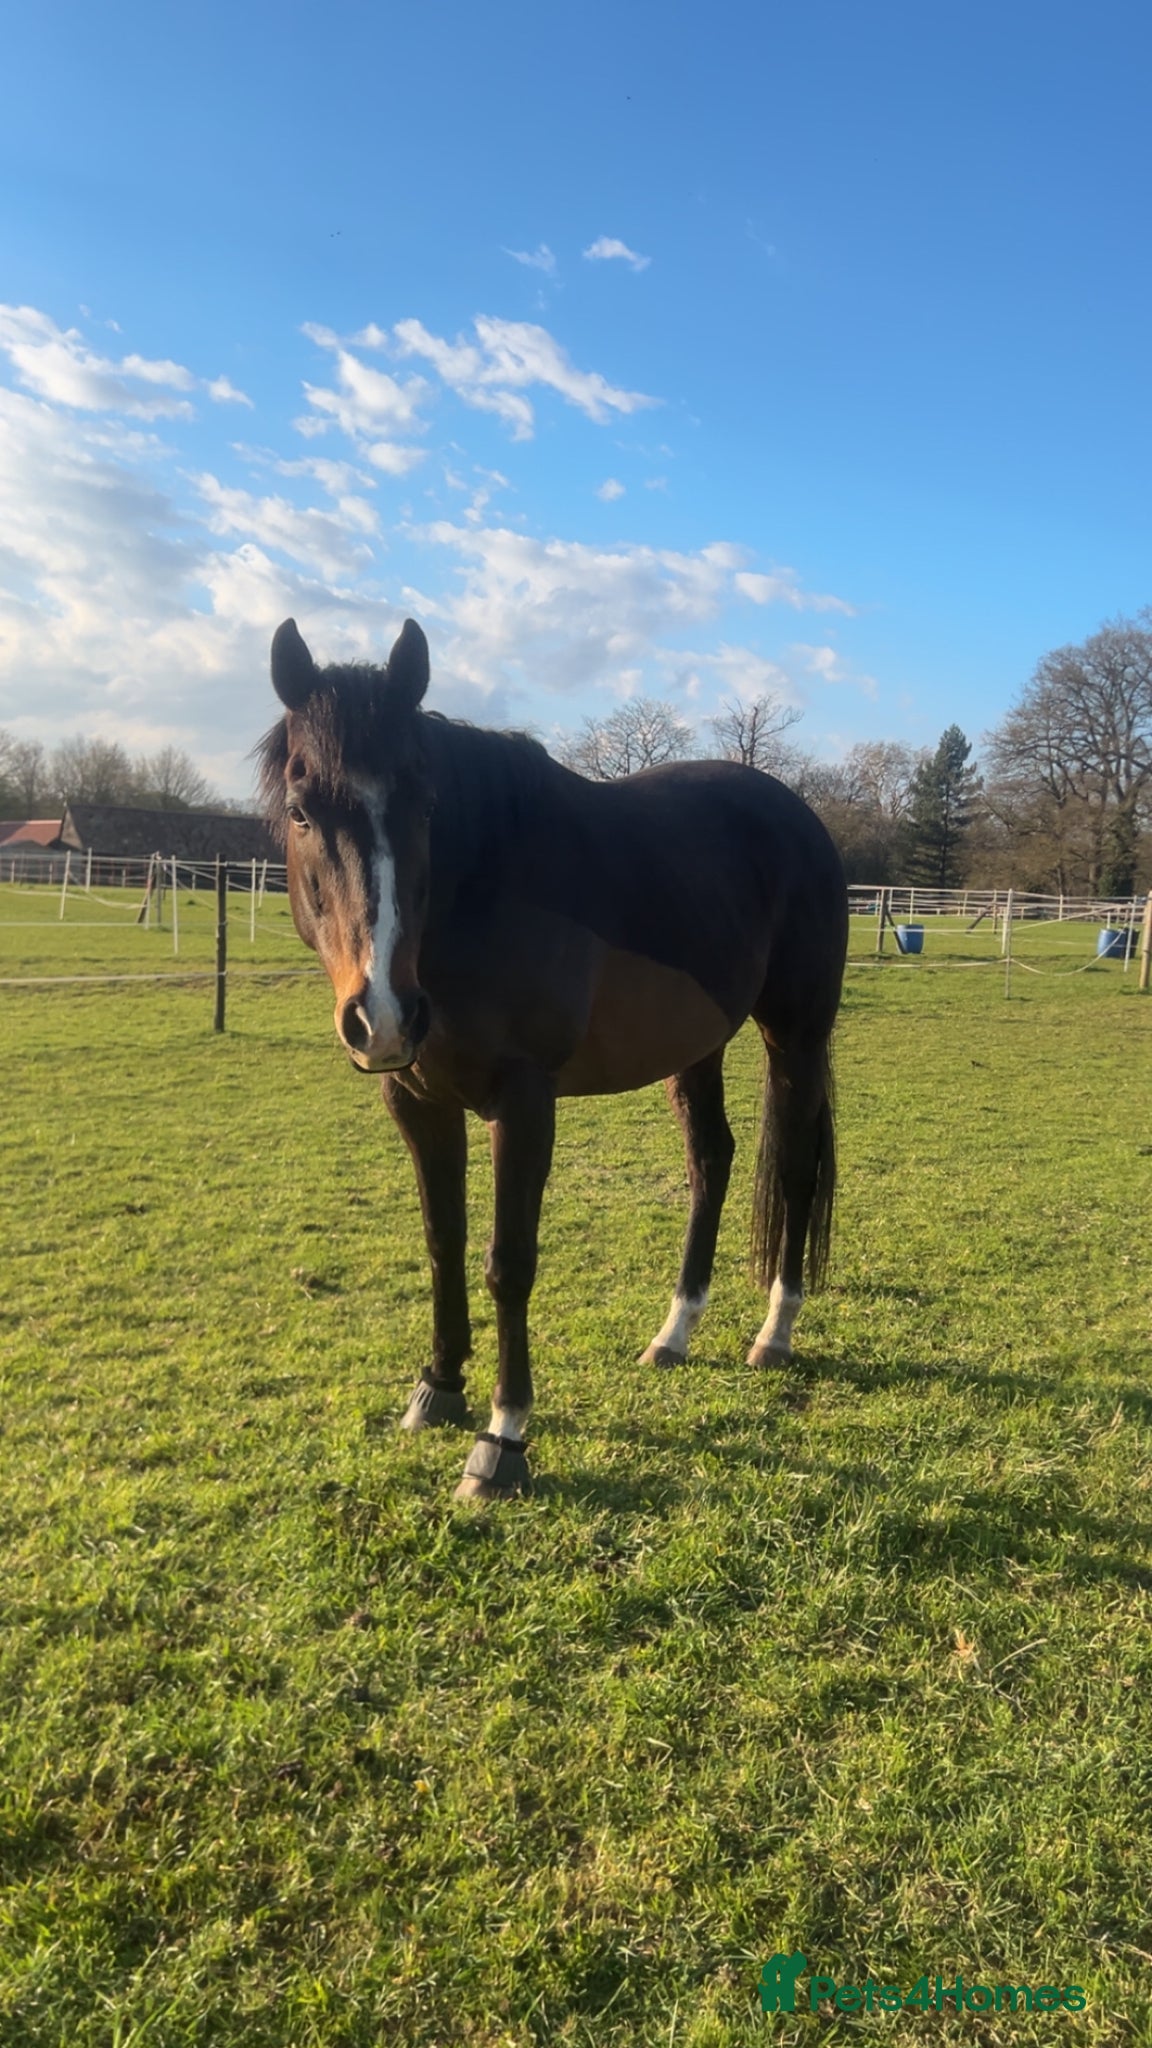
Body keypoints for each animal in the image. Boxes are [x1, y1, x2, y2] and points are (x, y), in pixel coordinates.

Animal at [259, 617, 848, 1500]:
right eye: (301, 811)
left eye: (425, 806)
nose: (384, 1016)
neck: (482, 895)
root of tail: (800, 819)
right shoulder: (418, 1101)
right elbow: (443, 1241)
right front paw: (439, 1387)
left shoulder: (524, 1102)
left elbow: (508, 1262)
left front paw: (502, 1440)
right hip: (699, 1047)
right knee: (711, 1160)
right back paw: (675, 1331)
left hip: (796, 1039)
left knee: (798, 1170)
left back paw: (775, 1332)